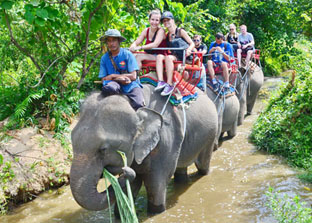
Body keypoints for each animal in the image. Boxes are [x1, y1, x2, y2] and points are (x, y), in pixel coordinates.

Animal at [69, 76, 218, 214]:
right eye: (72, 141)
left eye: (103, 149)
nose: (124, 172)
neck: (134, 106)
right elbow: (133, 183)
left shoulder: (166, 139)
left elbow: (155, 183)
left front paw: (156, 211)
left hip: (210, 134)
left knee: (203, 164)